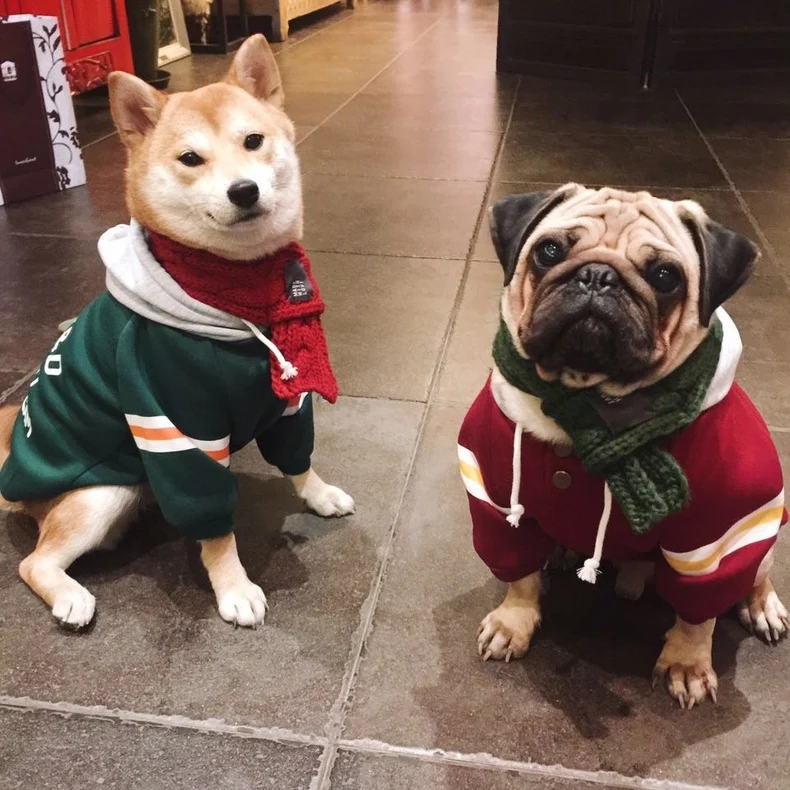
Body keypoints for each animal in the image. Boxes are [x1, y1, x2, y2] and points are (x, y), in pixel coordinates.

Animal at [0, 35, 352, 632]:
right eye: (191, 159)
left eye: (253, 141)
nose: (244, 190)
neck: (237, 291)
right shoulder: (176, 427)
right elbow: (213, 524)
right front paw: (233, 587)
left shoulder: (289, 396)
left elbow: (298, 457)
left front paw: (318, 493)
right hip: (101, 493)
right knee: (34, 562)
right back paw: (69, 595)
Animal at [460, 186, 788, 712]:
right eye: (548, 251)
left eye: (665, 277)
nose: (598, 276)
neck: (587, 405)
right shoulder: (496, 499)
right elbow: (519, 573)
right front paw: (514, 621)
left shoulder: (719, 534)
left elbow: (699, 612)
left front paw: (687, 663)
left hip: (762, 534)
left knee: (755, 576)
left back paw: (763, 606)